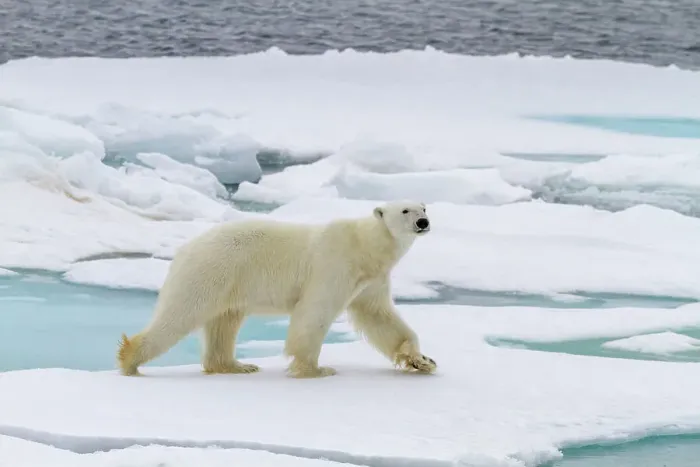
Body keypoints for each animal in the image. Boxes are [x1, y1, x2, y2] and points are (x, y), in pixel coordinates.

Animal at [116, 200, 437, 378]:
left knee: (224, 322)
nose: (423, 222)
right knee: (180, 314)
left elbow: (380, 317)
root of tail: (184, 249)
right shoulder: (334, 265)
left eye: (423, 207)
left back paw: (236, 366)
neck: (365, 246)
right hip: (210, 272)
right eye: (405, 210)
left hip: (229, 283)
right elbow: (314, 313)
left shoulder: (370, 280)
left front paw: (422, 360)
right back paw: (130, 360)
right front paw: (316, 370)